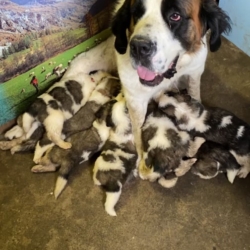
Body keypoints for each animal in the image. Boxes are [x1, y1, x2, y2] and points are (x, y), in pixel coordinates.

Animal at [65, 0, 231, 162]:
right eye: (137, 13)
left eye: (175, 16)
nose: (139, 47)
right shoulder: (135, 98)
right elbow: (138, 129)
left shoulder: (195, 71)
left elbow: (195, 95)